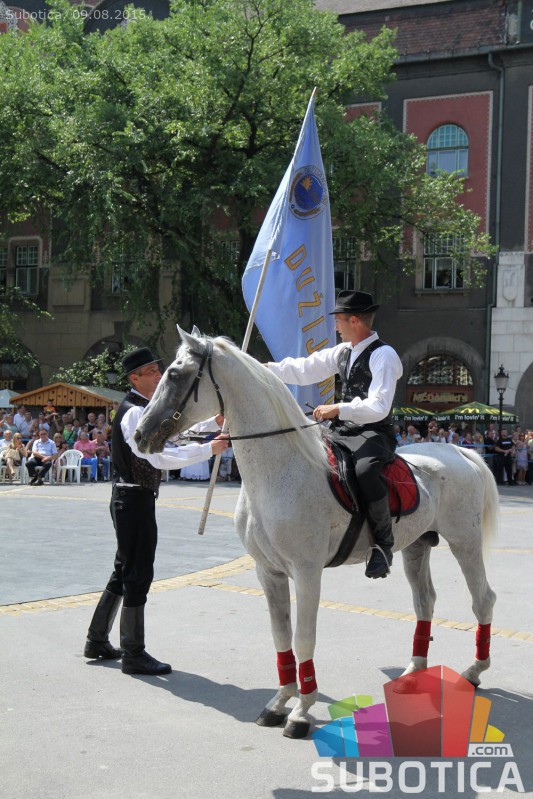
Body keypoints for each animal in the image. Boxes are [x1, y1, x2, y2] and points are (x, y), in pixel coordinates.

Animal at [135, 328, 498, 739]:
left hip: (465, 542)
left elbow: (303, 637)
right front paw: (279, 702)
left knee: (482, 599)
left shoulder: (307, 572)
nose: (141, 434)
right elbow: (281, 636)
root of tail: (458, 452)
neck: (279, 472)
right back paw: (412, 672)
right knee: (425, 602)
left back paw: (473, 672)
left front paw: (301, 711)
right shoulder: (269, 572)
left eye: (175, 374)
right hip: (416, 547)